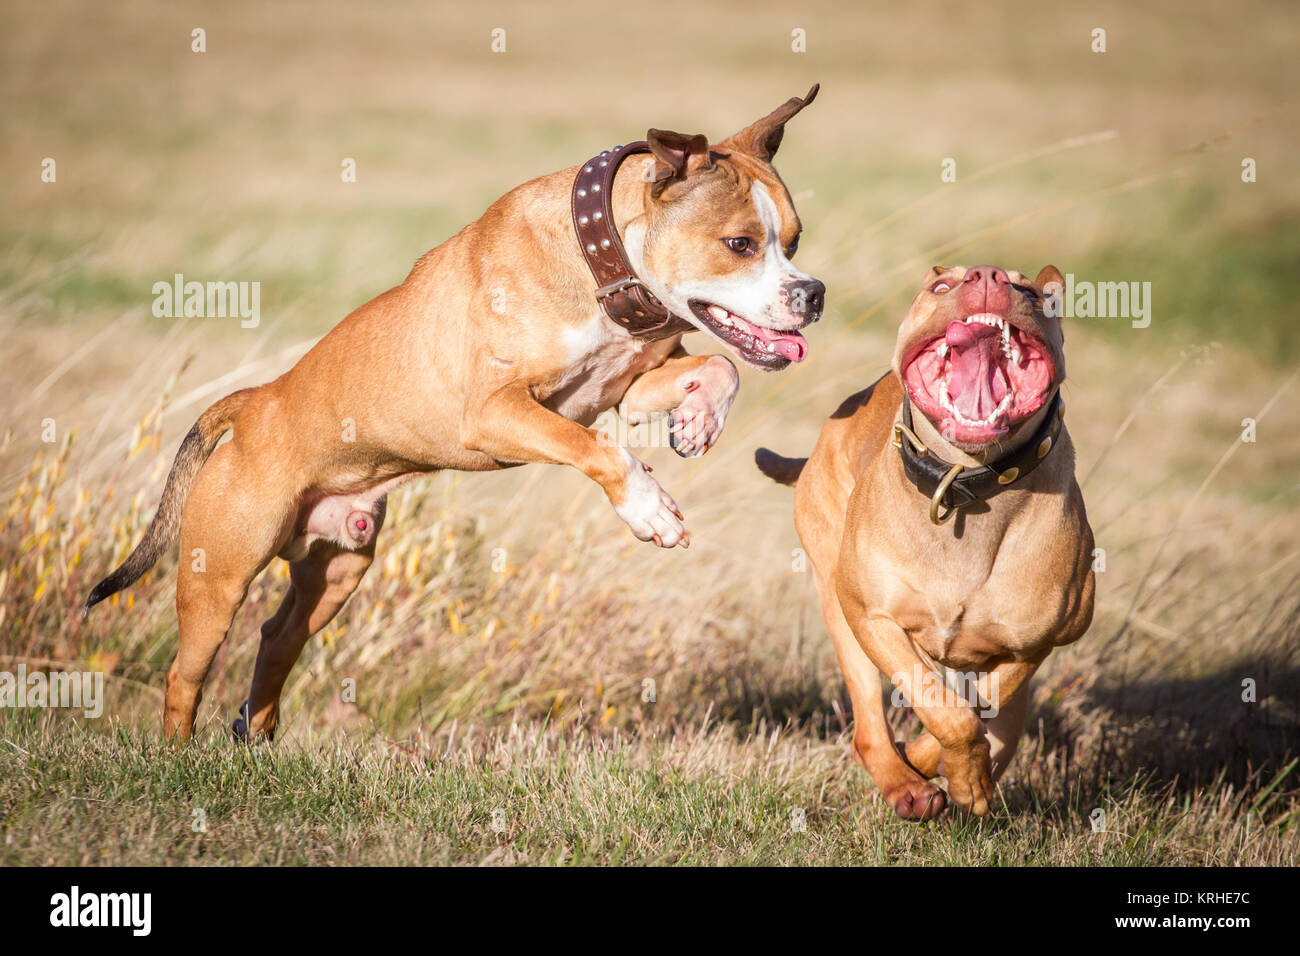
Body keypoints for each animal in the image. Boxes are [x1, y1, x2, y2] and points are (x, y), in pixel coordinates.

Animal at [89, 85, 821, 743]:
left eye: (792, 240)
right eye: (739, 244)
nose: (813, 294)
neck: (600, 258)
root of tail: (254, 403)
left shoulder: (628, 387)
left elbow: (722, 368)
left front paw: (699, 420)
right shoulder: (497, 413)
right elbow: (596, 449)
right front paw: (647, 509)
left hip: (337, 571)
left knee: (276, 637)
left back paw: (257, 738)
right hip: (220, 576)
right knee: (187, 671)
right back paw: (181, 758)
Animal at [759, 265, 1092, 816]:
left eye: (1028, 291)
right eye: (940, 288)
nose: (988, 275)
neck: (965, 484)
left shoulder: (1036, 644)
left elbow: (978, 712)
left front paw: (961, 777)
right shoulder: (873, 618)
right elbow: (950, 712)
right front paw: (949, 774)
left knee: (999, 728)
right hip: (839, 608)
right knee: (870, 729)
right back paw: (907, 786)